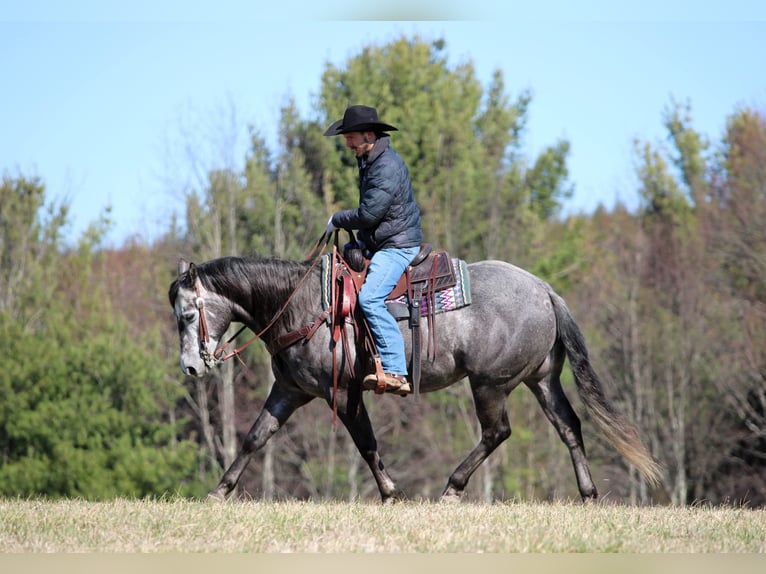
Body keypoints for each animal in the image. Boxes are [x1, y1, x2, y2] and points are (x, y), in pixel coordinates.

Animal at [168, 251, 662, 503]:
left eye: (188, 315)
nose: (191, 367)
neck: (304, 305)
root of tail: (544, 290)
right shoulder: (290, 390)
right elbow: (256, 437)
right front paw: (219, 491)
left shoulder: (344, 395)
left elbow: (367, 444)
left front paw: (390, 493)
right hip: (540, 380)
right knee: (568, 427)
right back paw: (588, 493)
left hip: (489, 383)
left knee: (497, 432)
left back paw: (452, 488)